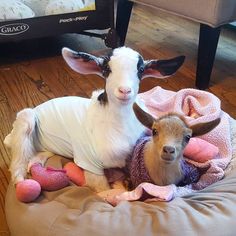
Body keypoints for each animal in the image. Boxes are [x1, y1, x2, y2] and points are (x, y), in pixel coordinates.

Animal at [2, 46, 185, 192]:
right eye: (106, 69)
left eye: (140, 70)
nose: (124, 90)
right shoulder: (90, 164)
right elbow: (105, 192)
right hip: (25, 120)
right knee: (19, 158)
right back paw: (20, 182)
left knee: (34, 157)